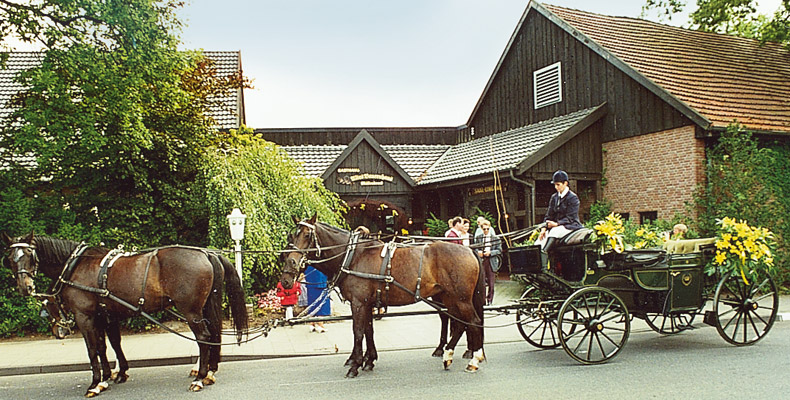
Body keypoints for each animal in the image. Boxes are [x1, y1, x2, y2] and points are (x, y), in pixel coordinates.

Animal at [1, 231, 249, 396]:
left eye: (30, 255)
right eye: (11, 259)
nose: (25, 287)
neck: (76, 265)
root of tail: (206, 253)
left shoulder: (85, 317)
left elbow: (93, 349)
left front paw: (95, 383)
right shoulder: (105, 315)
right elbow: (108, 345)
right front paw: (113, 375)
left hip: (190, 310)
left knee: (204, 337)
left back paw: (200, 377)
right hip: (205, 306)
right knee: (214, 334)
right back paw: (209, 373)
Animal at [282, 216, 486, 376]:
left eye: (307, 235)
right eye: (292, 236)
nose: (290, 266)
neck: (353, 256)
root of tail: (469, 249)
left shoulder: (359, 303)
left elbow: (358, 331)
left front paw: (355, 365)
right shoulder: (368, 303)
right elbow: (368, 330)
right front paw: (369, 360)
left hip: (461, 299)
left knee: (473, 322)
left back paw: (473, 360)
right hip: (449, 298)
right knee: (459, 325)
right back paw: (448, 356)